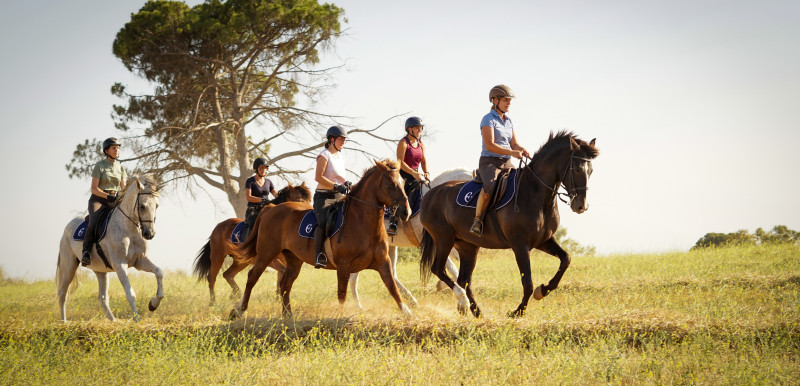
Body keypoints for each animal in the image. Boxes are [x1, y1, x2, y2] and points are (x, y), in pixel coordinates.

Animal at [228, 160, 410, 320]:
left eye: (403, 182)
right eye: (391, 183)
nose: (405, 212)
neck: (362, 222)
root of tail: (270, 209)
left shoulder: (383, 261)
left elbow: (392, 286)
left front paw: (407, 312)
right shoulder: (343, 266)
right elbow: (342, 294)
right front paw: (341, 317)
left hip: (293, 259)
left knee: (286, 283)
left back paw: (288, 315)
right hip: (267, 252)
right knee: (252, 277)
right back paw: (239, 310)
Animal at [418, 131, 600, 318]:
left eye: (591, 171)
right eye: (578, 169)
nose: (581, 206)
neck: (536, 194)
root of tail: (429, 195)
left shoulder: (543, 240)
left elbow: (566, 259)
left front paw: (542, 290)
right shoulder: (520, 245)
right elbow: (527, 282)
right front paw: (517, 311)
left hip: (468, 246)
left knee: (464, 279)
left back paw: (477, 312)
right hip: (444, 239)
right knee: (439, 269)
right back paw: (463, 300)